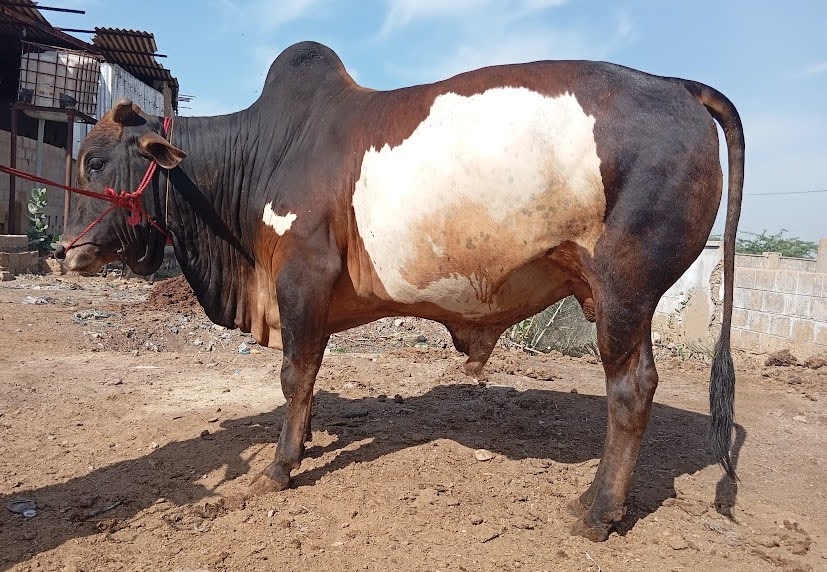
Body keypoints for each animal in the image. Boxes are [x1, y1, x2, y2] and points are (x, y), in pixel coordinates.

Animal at [55, 41, 743, 541]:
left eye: (95, 161)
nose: (65, 251)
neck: (264, 156)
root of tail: (678, 84)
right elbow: (308, 380)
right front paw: (303, 442)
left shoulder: (301, 277)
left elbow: (294, 374)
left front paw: (279, 467)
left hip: (625, 290)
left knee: (631, 389)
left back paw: (598, 512)